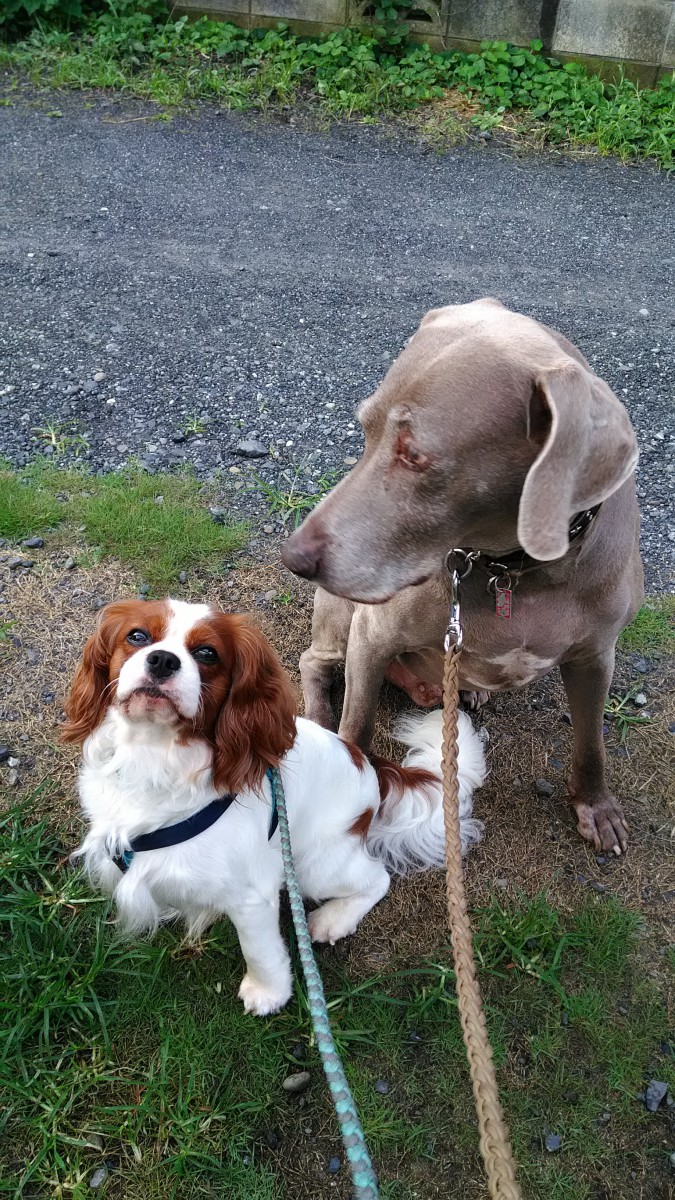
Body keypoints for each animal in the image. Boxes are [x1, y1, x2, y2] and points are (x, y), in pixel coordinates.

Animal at [63, 600, 482, 1012]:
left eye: (207, 654)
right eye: (136, 636)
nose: (163, 660)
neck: (154, 755)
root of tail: (369, 762)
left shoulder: (252, 895)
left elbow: (260, 952)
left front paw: (267, 994)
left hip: (314, 865)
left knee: (377, 878)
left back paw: (333, 919)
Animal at [279, 304, 638, 859]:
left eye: (415, 454)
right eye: (365, 429)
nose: (293, 556)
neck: (516, 570)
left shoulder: (596, 654)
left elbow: (591, 742)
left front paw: (596, 808)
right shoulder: (372, 634)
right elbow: (357, 727)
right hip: (341, 621)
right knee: (313, 662)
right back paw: (318, 717)